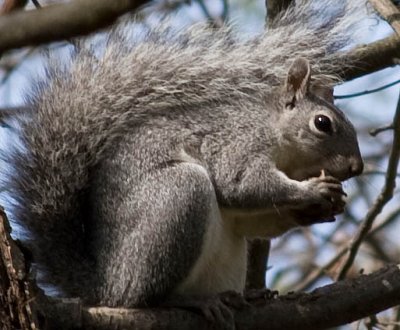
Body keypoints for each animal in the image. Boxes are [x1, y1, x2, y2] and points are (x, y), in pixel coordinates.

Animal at [3, 0, 366, 324]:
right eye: (323, 123)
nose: (356, 168)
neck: (275, 134)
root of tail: (104, 286)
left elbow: (252, 221)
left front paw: (318, 208)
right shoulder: (234, 144)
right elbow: (241, 186)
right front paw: (312, 191)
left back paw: (244, 297)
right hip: (178, 197)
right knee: (142, 298)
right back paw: (188, 301)